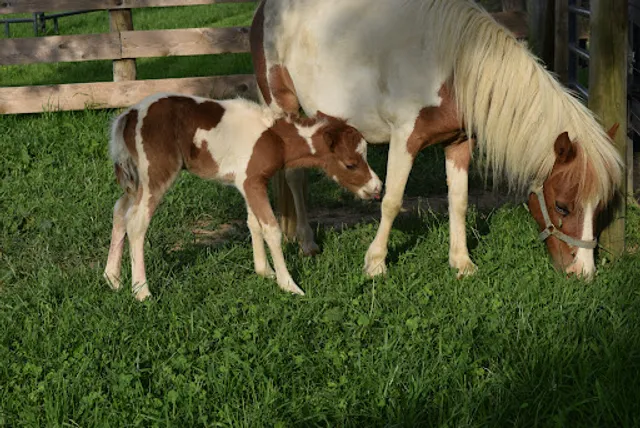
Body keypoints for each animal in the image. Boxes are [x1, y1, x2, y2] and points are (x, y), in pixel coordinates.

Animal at [104, 93, 382, 300]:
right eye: (350, 164)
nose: (377, 188)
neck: (275, 139)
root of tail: (129, 116)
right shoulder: (252, 183)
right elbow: (271, 229)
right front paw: (288, 284)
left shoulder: (248, 183)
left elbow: (254, 224)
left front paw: (264, 271)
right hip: (155, 174)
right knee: (136, 222)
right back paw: (141, 291)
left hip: (136, 180)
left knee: (119, 210)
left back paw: (113, 279)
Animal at [250, 0, 623, 279]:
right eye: (562, 205)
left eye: (600, 206)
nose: (583, 272)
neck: (454, 68)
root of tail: (266, 9)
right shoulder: (405, 139)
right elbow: (392, 201)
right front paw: (376, 264)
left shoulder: (459, 143)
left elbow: (458, 201)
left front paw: (462, 263)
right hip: (283, 105)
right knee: (294, 175)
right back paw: (307, 243)